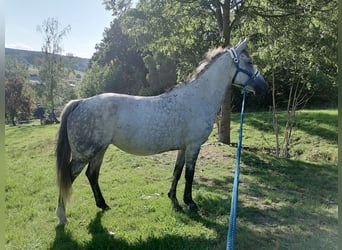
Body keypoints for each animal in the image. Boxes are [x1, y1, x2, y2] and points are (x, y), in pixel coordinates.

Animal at [55, 39, 268, 225]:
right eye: (249, 62)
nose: (263, 87)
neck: (198, 97)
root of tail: (81, 102)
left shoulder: (183, 148)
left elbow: (177, 172)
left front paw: (174, 200)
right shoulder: (193, 146)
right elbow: (189, 175)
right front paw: (190, 203)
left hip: (100, 150)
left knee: (92, 175)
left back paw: (103, 205)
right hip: (84, 155)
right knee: (68, 177)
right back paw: (62, 217)